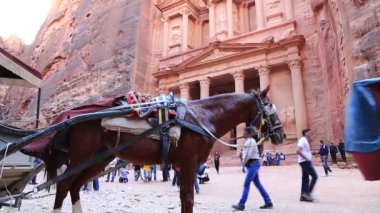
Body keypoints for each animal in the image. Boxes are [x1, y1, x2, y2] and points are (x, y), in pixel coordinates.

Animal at [29, 85, 282, 212]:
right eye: (270, 108)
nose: (281, 135)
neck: (203, 117)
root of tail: (71, 118)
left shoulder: (184, 166)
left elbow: (184, 197)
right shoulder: (188, 163)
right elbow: (188, 198)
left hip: (100, 159)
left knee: (75, 187)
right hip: (82, 156)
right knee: (64, 186)